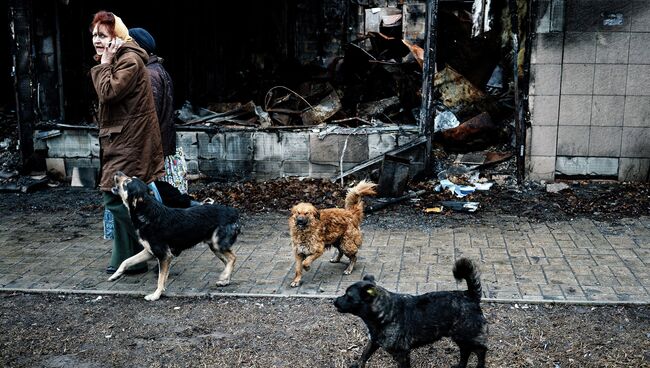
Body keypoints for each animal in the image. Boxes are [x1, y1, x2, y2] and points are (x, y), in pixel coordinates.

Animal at [109, 171, 240, 300]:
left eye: (127, 182)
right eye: (131, 177)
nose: (117, 172)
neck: (146, 212)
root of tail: (234, 211)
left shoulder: (164, 255)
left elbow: (160, 279)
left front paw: (156, 295)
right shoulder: (150, 252)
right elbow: (126, 261)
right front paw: (115, 275)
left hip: (217, 244)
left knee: (233, 258)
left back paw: (224, 276)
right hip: (214, 247)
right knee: (227, 261)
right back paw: (225, 280)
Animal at [334, 258, 486, 368]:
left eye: (348, 296)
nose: (335, 301)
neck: (385, 312)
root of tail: (470, 295)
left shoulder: (402, 354)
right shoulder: (374, 341)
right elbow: (364, 354)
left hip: (468, 336)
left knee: (480, 352)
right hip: (459, 337)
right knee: (465, 352)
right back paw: (460, 366)